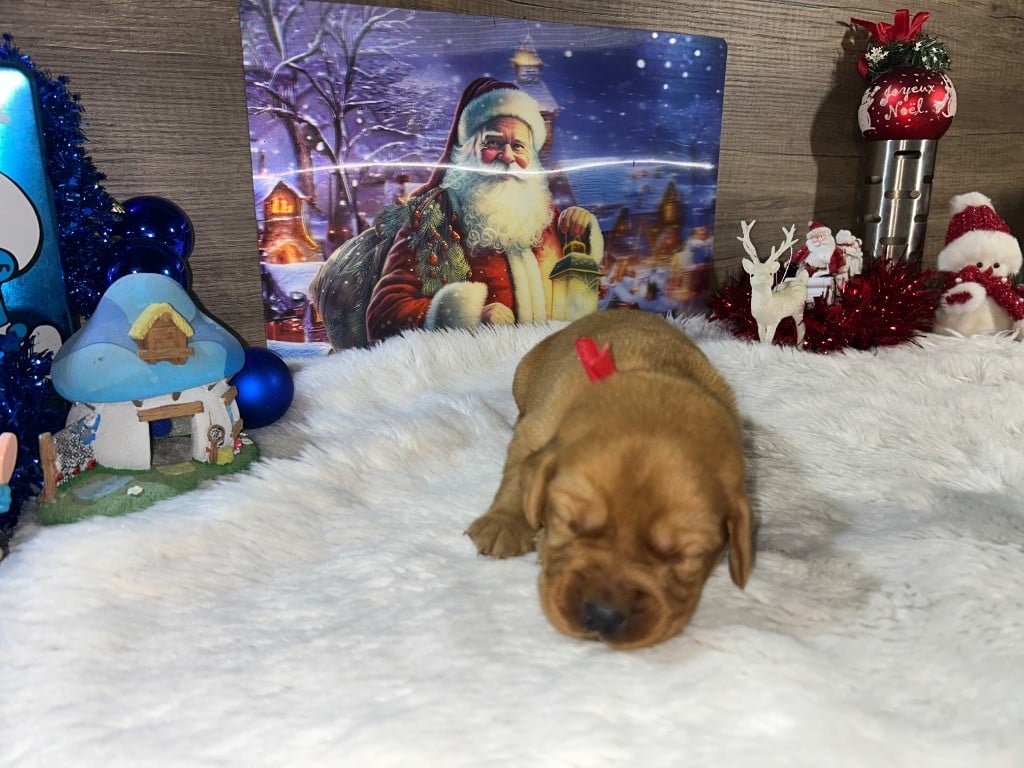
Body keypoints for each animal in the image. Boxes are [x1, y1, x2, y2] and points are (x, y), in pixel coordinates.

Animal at [466, 310, 752, 649]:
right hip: (524, 375)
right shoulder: (537, 427)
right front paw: (504, 523)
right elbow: (516, 471)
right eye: (569, 522)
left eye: (686, 554)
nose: (603, 615)